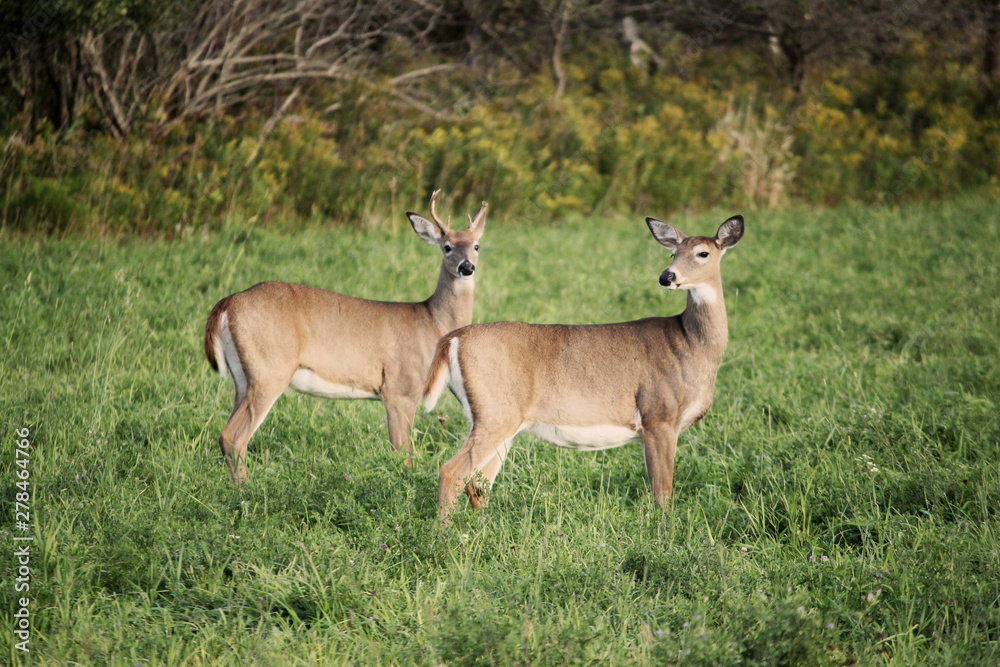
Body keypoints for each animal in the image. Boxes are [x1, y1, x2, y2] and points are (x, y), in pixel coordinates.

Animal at [205, 190, 486, 488]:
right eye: (447, 247)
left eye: (476, 246)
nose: (466, 267)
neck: (432, 322)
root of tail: (227, 303)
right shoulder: (400, 388)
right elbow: (403, 455)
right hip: (269, 371)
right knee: (234, 437)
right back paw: (247, 492)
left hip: (242, 378)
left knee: (227, 434)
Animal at [422, 214, 744, 520]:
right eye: (672, 253)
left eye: (703, 253)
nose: (667, 276)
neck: (689, 343)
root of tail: (453, 338)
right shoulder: (659, 416)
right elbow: (662, 494)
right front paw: (664, 532)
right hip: (495, 413)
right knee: (451, 472)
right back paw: (444, 535)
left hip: (500, 420)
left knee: (479, 484)